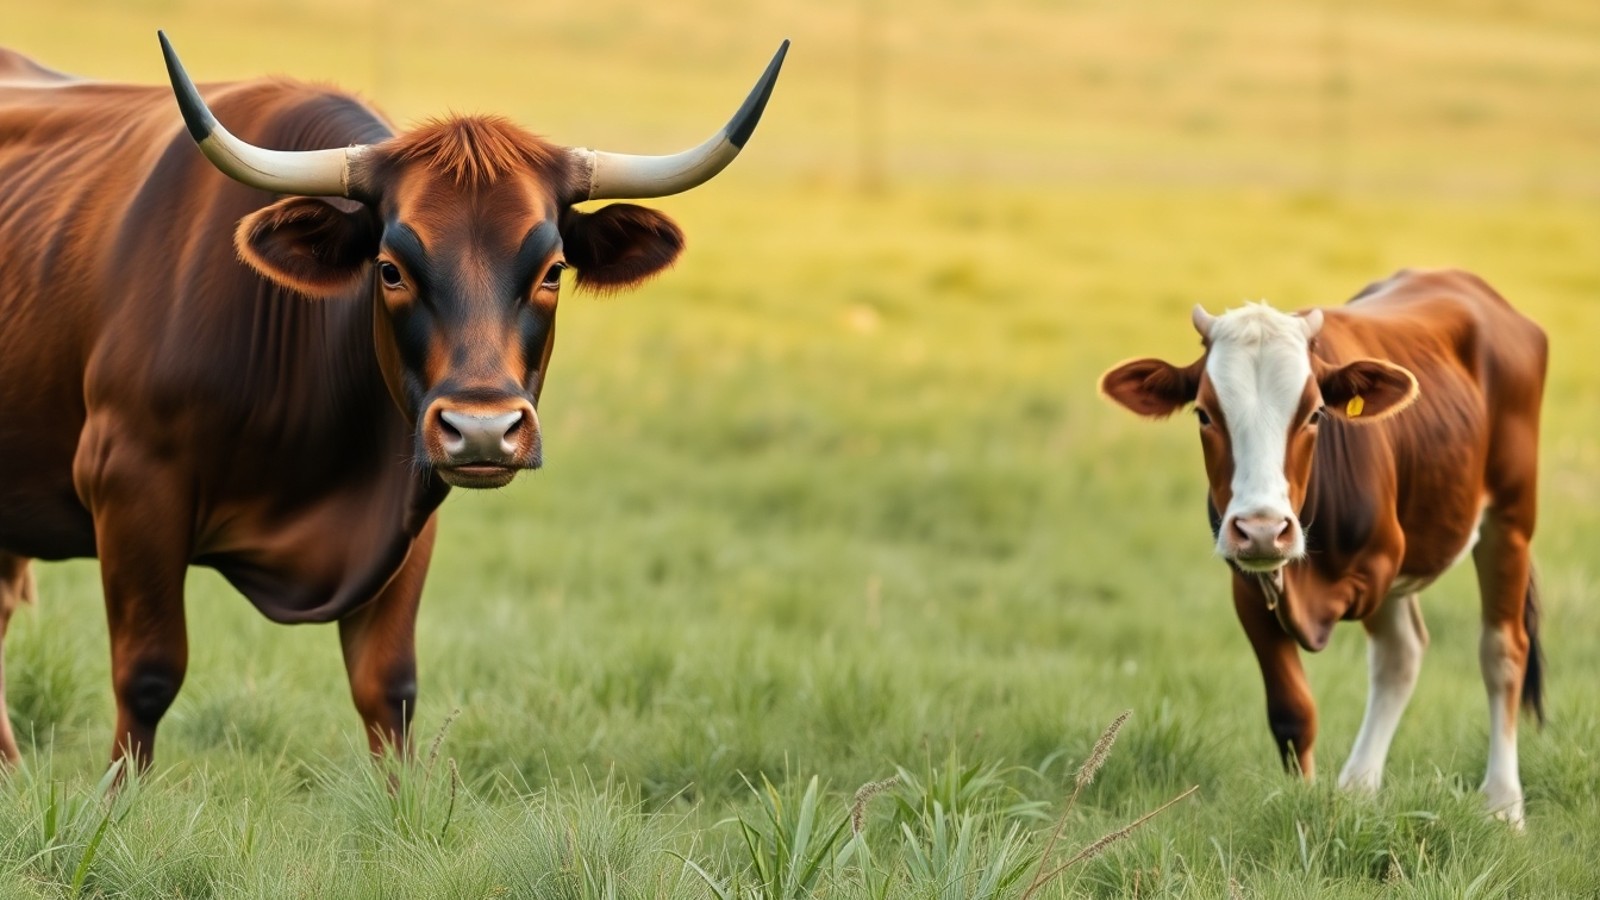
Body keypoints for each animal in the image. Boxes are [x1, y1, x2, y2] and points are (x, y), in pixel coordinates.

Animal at [0, 33, 787, 770]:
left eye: (553, 269)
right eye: (390, 268)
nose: (481, 430)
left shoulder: (409, 513)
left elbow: (389, 689)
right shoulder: (131, 484)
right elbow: (149, 675)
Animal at [1098, 269, 1546, 825]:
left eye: (1314, 414)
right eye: (1203, 414)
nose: (1263, 528)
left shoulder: (1379, 566)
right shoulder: (1247, 588)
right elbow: (1293, 712)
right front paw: (1307, 799)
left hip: (1510, 518)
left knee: (1501, 651)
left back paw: (1503, 804)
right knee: (1402, 654)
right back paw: (1359, 786)